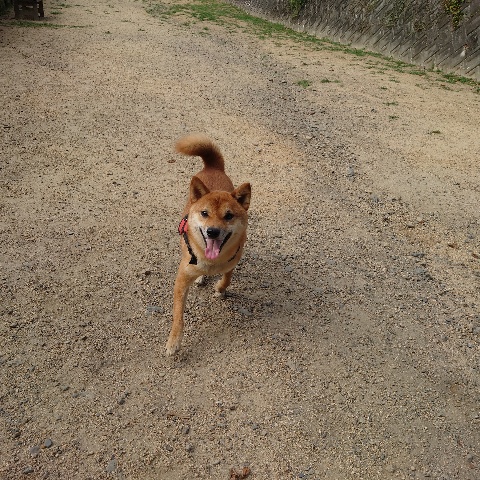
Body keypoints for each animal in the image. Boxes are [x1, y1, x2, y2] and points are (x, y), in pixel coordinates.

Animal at [165, 134, 251, 355]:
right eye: (204, 213)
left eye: (229, 216)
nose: (212, 231)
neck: (211, 261)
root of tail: (213, 167)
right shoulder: (181, 280)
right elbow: (178, 315)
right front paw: (174, 341)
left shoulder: (233, 260)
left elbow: (227, 278)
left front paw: (220, 288)